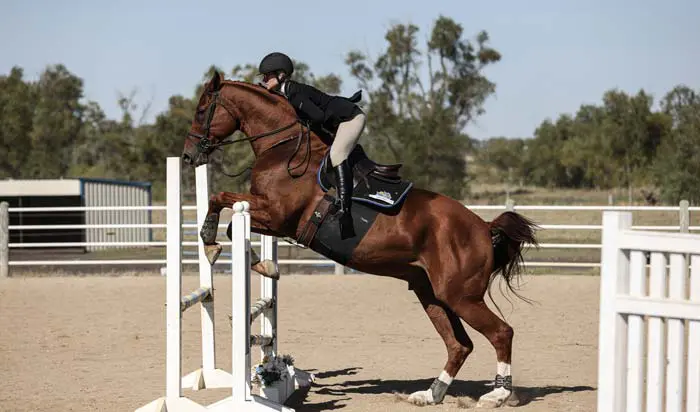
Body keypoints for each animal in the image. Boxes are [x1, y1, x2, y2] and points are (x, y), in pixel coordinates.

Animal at [181, 71, 539, 408]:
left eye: (201, 110)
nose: (187, 156)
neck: (283, 147)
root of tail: (483, 227)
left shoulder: (278, 215)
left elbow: (221, 203)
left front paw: (212, 242)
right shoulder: (272, 219)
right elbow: (230, 218)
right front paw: (261, 263)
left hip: (461, 295)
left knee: (501, 333)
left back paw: (497, 395)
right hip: (433, 294)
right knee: (459, 344)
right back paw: (430, 393)